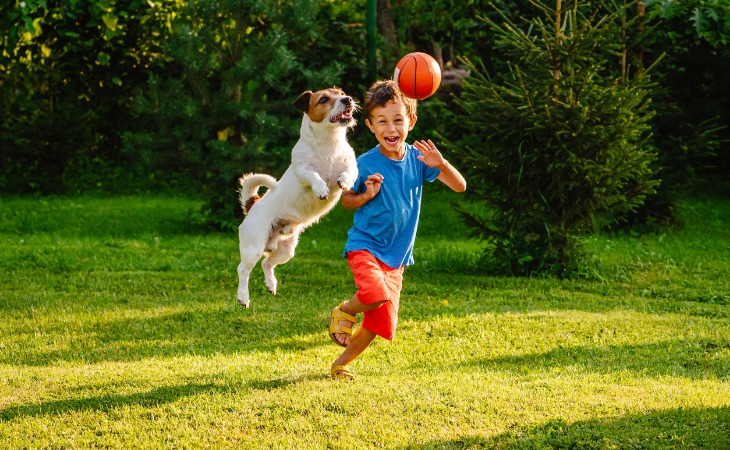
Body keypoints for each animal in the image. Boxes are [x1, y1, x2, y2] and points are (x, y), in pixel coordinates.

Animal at [235, 87, 356, 310]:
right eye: (324, 99)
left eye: (341, 92)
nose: (348, 99)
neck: (329, 144)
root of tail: (253, 204)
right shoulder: (302, 170)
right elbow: (313, 176)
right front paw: (320, 188)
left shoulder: (351, 165)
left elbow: (349, 172)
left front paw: (344, 181)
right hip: (253, 246)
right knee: (243, 270)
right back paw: (243, 297)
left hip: (286, 250)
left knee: (267, 263)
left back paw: (271, 284)